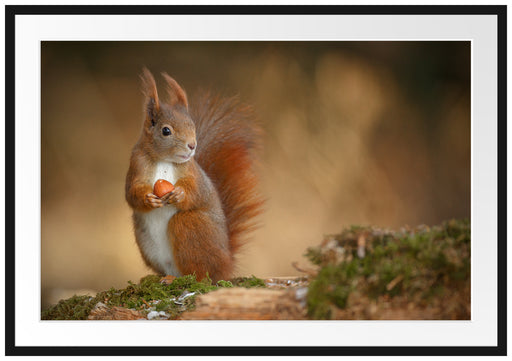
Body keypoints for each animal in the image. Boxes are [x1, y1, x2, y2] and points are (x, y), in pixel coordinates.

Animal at [126, 67, 264, 282]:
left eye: (192, 126)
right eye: (166, 131)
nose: (192, 145)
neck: (164, 160)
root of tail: (226, 264)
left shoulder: (193, 173)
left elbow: (197, 191)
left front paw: (180, 194)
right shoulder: (136, 165)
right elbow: (131, 193)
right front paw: (148, 199)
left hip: (190, 225)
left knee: (200, 273)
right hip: (146, 242)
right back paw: (166, 278)